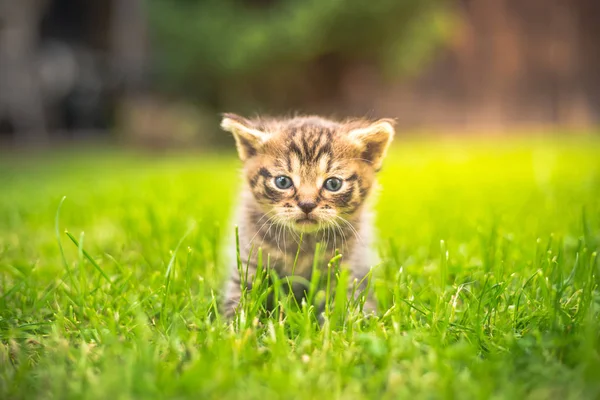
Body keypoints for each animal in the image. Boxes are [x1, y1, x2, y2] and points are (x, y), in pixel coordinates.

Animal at [220, 112, 394, 318]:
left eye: (333, 184)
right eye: (282, 182)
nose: (307, 205)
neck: (303, 244)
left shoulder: (349, 266)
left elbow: (350, 303)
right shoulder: (250, 259)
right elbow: (239, 298)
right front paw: (235, 322)